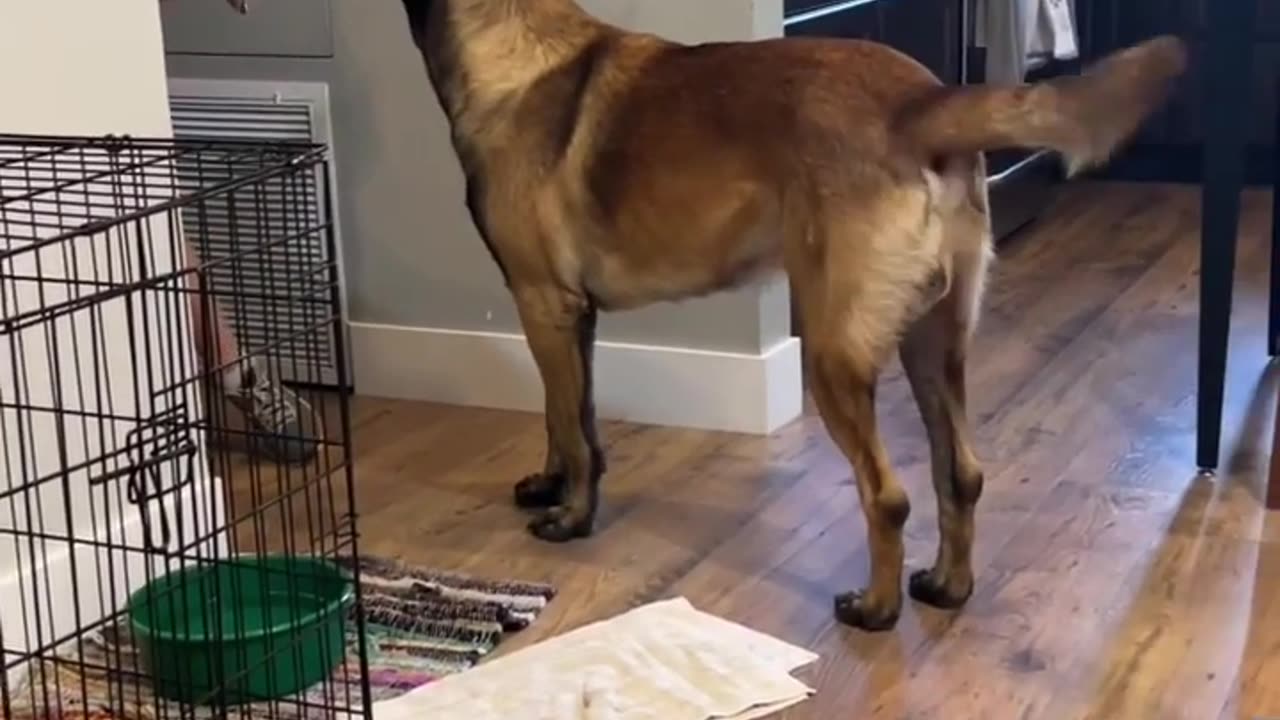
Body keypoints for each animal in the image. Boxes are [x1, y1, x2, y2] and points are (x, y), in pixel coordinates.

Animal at [394, 0, 1182, 627]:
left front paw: (571, 516)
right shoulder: (567, 317)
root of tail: (919, 103)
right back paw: (945, 587)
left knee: (888, 496)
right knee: (959, 472)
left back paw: (876, 609)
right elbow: (572, 420)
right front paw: (553, 487)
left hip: (832, 354)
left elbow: (568, 424)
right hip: (934, 344)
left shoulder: (544, 303)